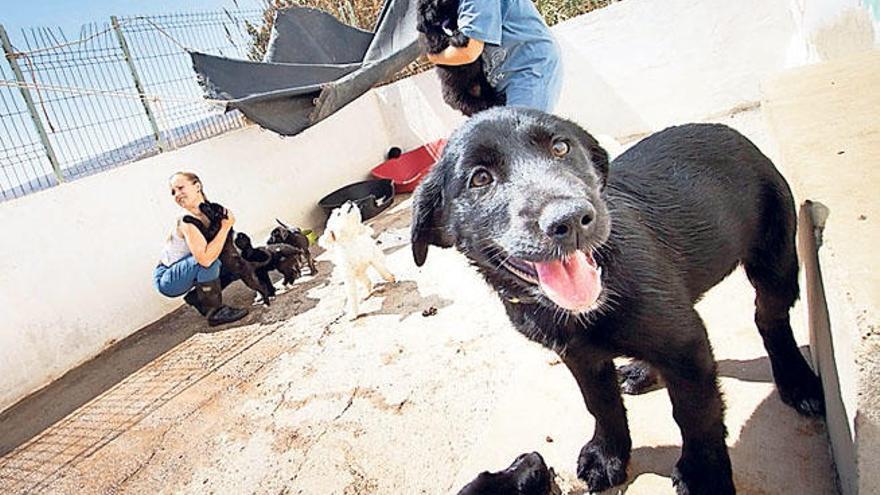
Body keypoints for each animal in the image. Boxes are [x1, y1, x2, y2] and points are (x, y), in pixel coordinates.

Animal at [412, 108, 824, 495]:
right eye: (480, 178)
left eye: (561, 147)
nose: (572, 220)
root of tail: (729, 132)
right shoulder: (579, 355)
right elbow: (601, 403)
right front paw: (608, 455)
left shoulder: (686, 344)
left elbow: (696, 414)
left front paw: (704, 476)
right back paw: (642, 371)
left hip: (775, 259)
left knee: (769, 319)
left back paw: (797, 381)